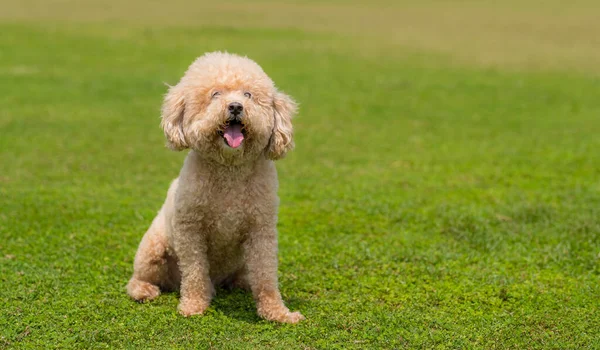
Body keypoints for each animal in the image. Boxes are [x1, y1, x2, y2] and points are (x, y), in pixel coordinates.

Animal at [126, 51, 304, 322]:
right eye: (215, 94)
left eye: (248, 95)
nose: (236, 106)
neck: (229, 169)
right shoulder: (190, 230)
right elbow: (195, 272)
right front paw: (193, 306)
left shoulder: (261, 230)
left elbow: (266, 277)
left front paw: (277, 313)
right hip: (152, 249)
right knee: (141, 277)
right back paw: (144, 290)